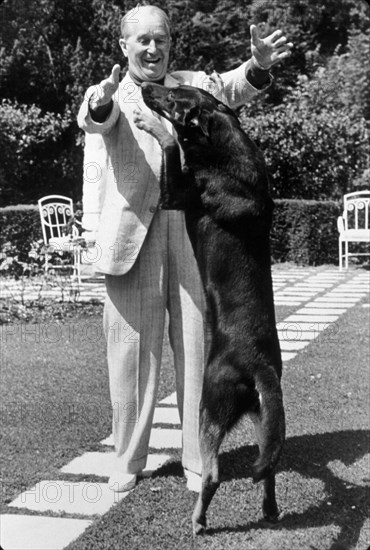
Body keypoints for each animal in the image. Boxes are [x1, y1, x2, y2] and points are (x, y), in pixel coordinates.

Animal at [142, 81, 286, 536]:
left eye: (172, 96)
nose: (144, 86)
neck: (222, 145)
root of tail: (258, 365)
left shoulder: (176, 193)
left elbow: (170, 144)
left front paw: (153, 126)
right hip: (261, 415)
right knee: (268, 466)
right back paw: (269, 508)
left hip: (210, 405)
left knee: (212, 473)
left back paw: (198, 520)